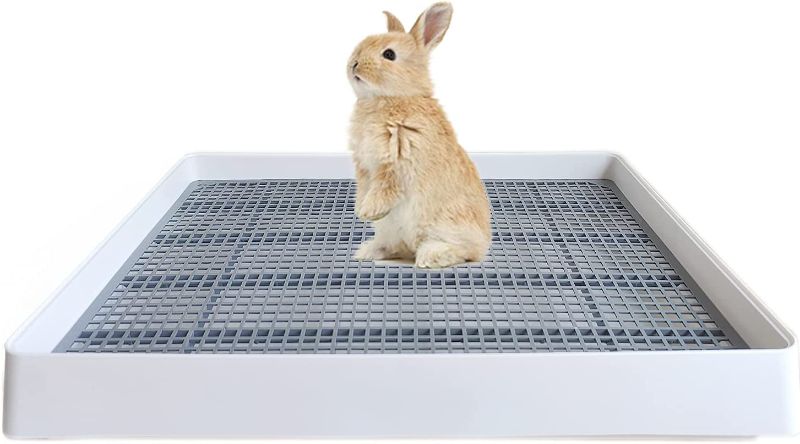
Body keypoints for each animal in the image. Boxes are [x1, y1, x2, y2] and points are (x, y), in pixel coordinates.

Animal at [348, 2, 491, 269]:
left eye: (389, 55)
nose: (354, 64)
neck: (393, 98)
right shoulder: (363, 166)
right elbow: (365, 188)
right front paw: (361, 210)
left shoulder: (397, 161)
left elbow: (384, 188)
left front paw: (368, 211)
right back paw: (368, 251)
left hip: (448, 225)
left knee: (465, 251)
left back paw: (430, 256)